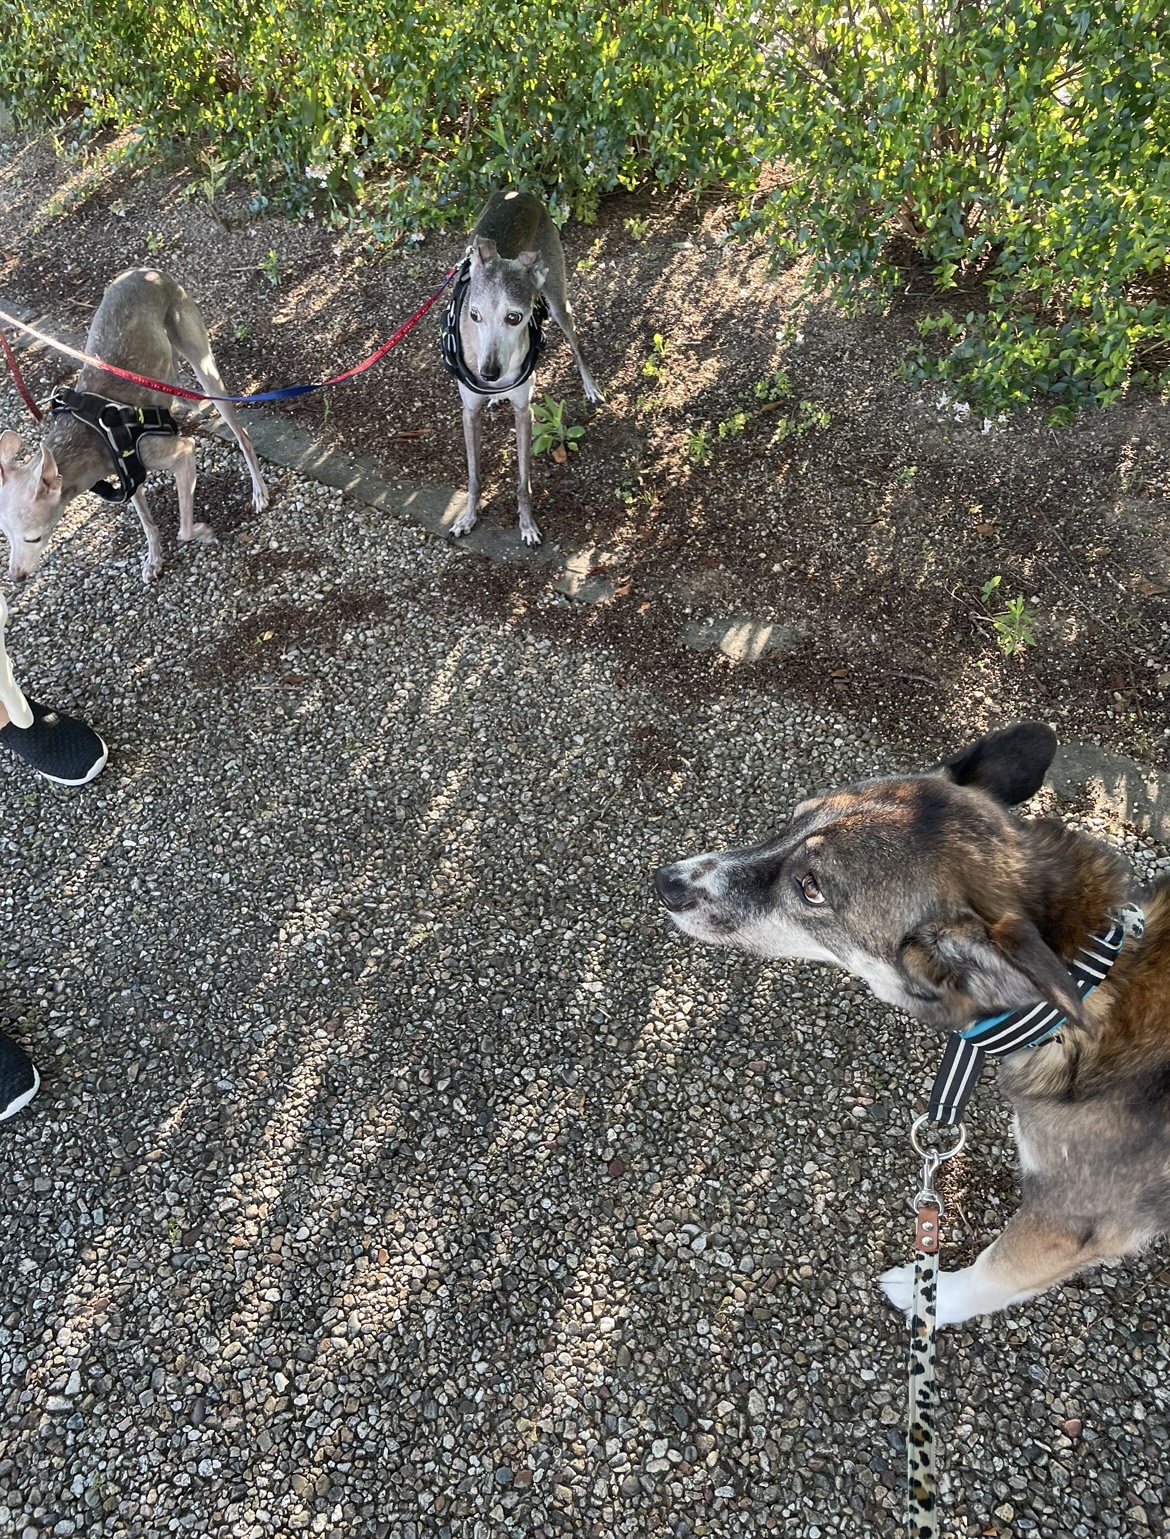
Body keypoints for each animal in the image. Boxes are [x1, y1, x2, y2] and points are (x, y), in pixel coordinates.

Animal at [652, 723, 1163, 1323]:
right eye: (791, 821)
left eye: (812, 887)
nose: (665, 882)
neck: (1090, 974)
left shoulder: (1075, 1219)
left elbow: (994, 1272)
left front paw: (930, 1295)